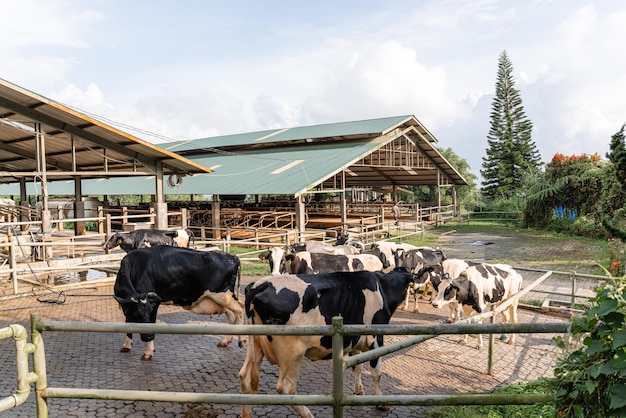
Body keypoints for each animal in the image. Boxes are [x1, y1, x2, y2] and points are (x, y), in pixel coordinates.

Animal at [113, 247, 245, 360]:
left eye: (149, 312)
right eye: (137, 315)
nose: (150, 336)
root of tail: (232, 256)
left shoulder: (154, 302)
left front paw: (148, 352)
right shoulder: (127, 307)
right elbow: (127, 323)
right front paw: (126, 345)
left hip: (223, 295)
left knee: (240, 309)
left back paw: (241, 340)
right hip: (221, 299)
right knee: (231, 315)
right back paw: (225, 341)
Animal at [236, 268, 426, 418]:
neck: (382, 288)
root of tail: (260, 285)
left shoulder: (354, 339)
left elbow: (358, 367)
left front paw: (359, 390)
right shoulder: (376, 337)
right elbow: (376, 372)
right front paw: (381, 402)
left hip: (255, 344)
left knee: (245, 377)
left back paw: (246, 414)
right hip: (292, 352)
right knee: (286, 389)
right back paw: (309, 415)